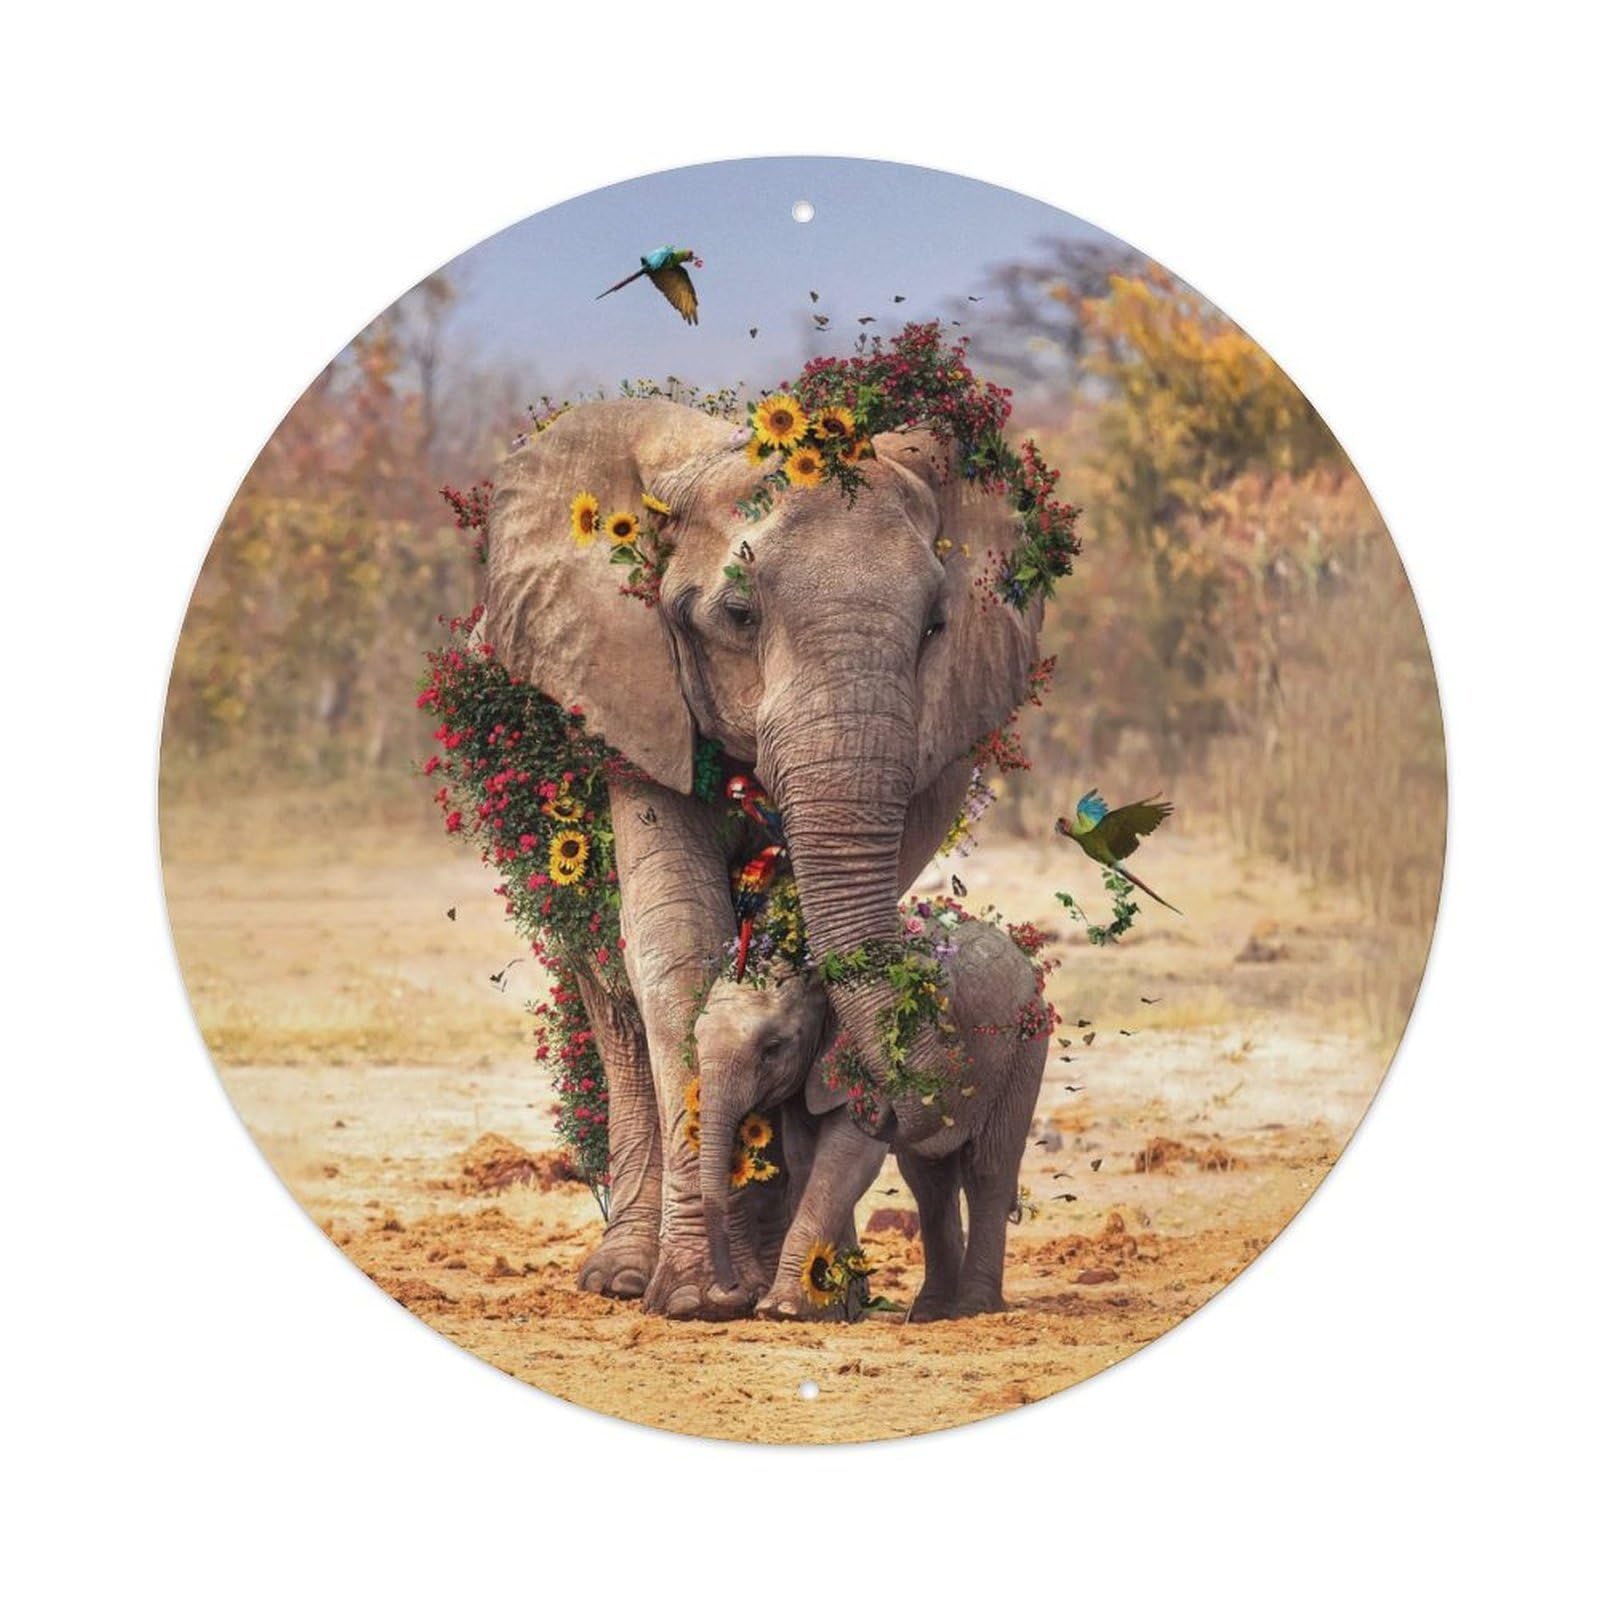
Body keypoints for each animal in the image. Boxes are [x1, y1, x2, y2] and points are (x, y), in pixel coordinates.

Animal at [692, 917, 1050, 1320]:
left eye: (772, 1048)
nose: (729, 1291)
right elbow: (806, 1162)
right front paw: (825, 1309)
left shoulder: (865, 1064)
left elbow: (844, 1161)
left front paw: (780, 1308)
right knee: (930, 1181)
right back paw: (931, 1311)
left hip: (1022, 1053)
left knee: (987, 1169)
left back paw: (974, 1306)